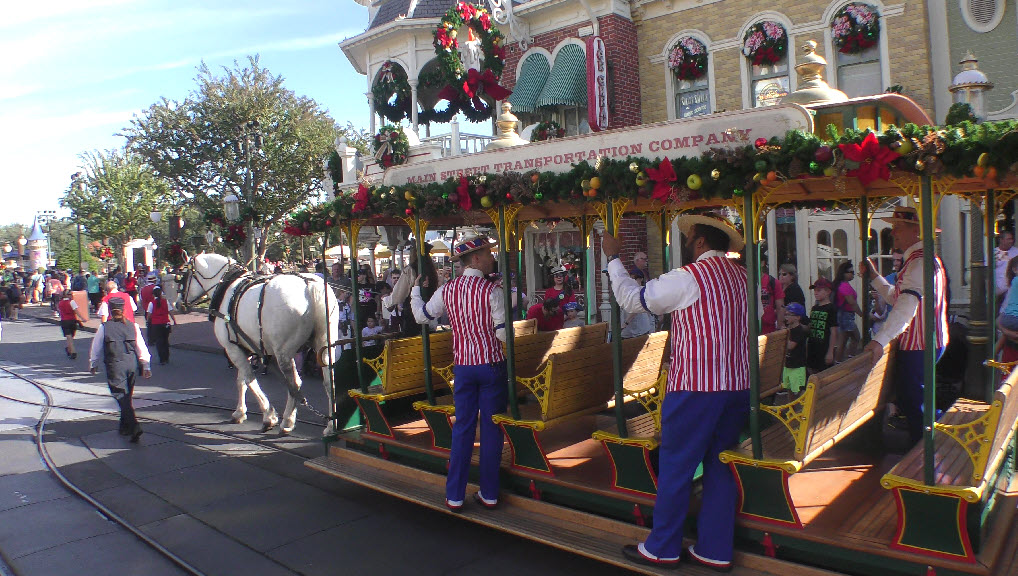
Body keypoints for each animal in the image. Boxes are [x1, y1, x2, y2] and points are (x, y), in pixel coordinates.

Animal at [180, 255, 342, 435]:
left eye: (183, 275)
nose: (179, 303)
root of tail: (309, 285)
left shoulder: (232, 348)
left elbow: (250, 379)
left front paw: (269, 416)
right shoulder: (245, 348)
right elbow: (241, 381)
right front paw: (239, 412)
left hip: (284, 352)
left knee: (294, 384)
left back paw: (287, 422)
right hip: (324, 346)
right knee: (328, 381)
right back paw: (330, 425)